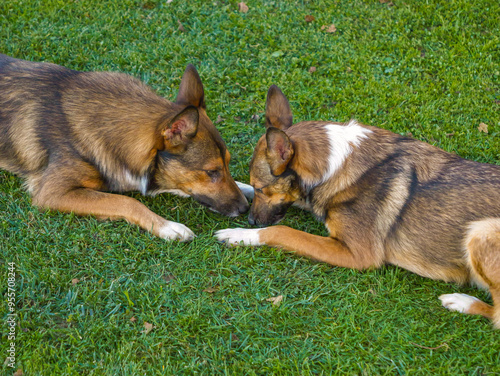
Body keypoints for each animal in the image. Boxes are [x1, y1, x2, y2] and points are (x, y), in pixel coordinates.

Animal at [217, 84, 500, 326]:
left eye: (262, 188)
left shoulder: (358, 254)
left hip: (480, 232)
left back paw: (461, 301)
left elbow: (282, 231)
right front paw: (232, 191)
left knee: (497, 315)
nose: (251, 221)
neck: (333, 166)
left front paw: (239, 235)